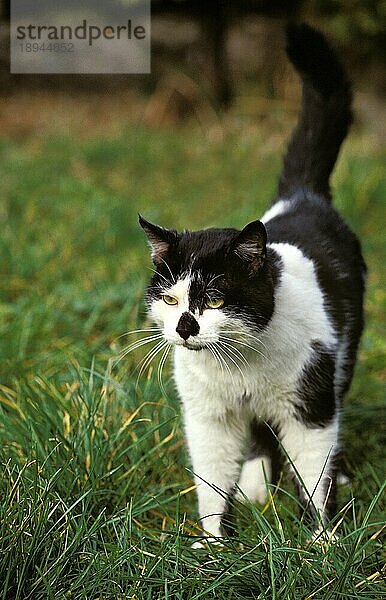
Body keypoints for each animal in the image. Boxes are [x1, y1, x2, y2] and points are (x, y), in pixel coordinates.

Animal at [138, 23, 364, 540]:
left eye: (216, 298)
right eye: (170, 298)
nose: (185, 326)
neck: (238, 366)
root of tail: (302, 195)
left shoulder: (309, 404)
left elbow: (313, 470)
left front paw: (321, 540)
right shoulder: (208, 416)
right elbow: (210, 477)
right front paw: (212, 543)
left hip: (343, 356)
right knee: (259, 432)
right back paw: (256, 486)